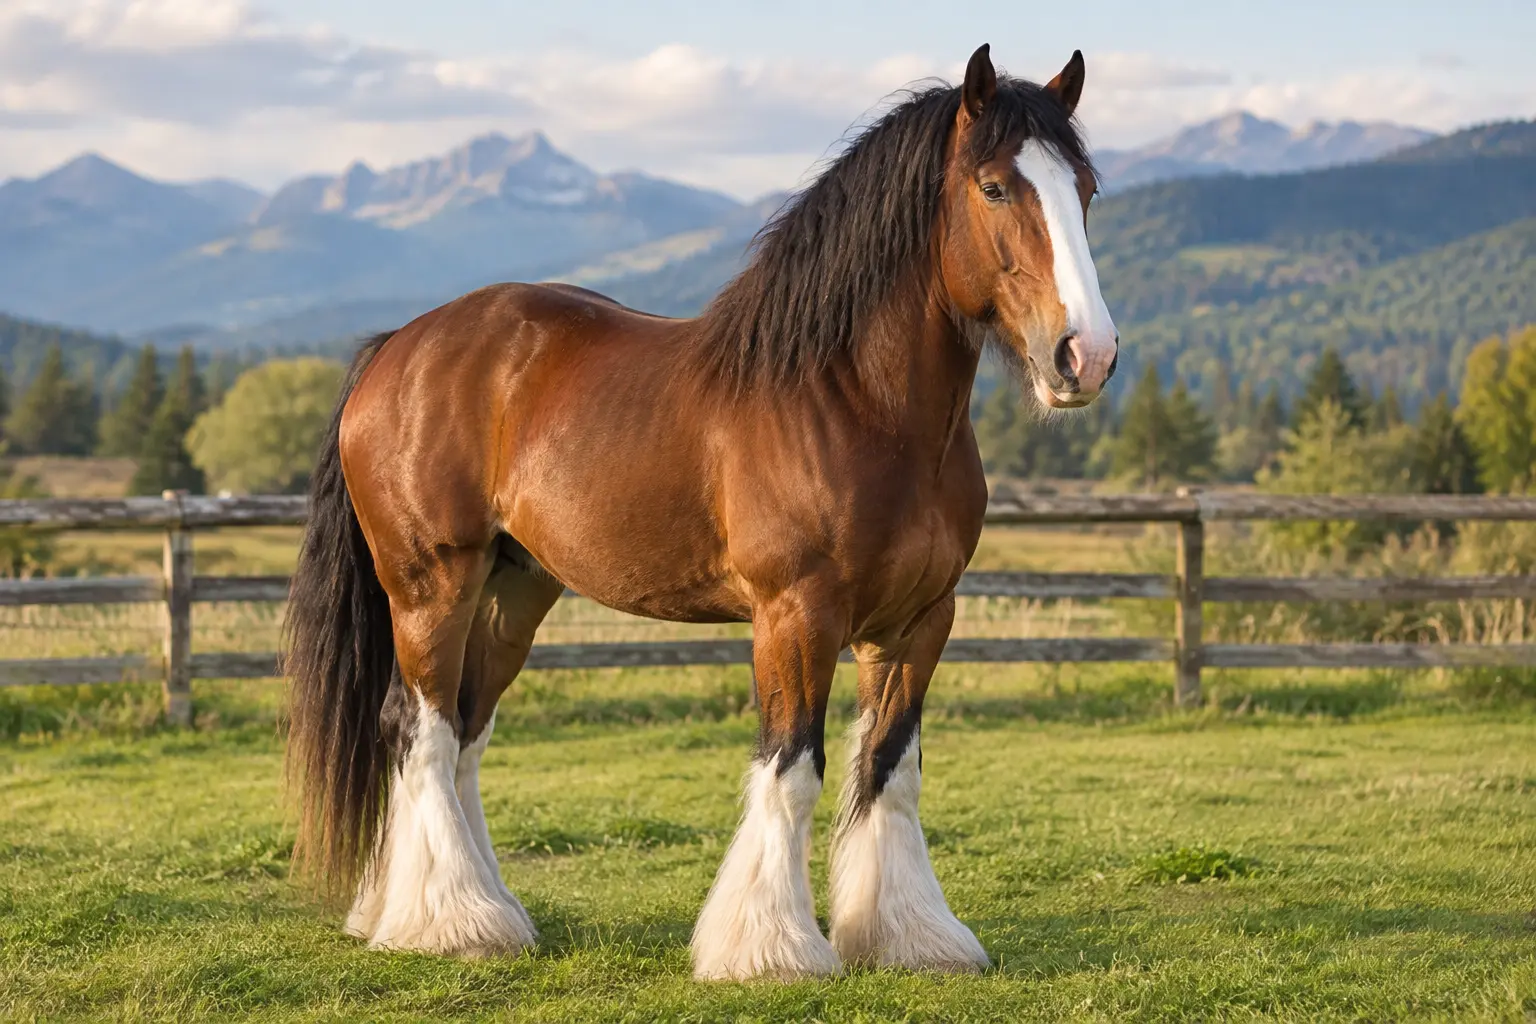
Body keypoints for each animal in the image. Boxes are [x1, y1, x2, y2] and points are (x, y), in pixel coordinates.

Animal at [284, 43, 1118, 981]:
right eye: (995, 188)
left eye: (1085, 189)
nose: (1085, 356)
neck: (855, 402)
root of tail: (397, 346)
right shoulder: (796, 615)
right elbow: (794, 767)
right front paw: (771, 947)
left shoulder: (919, 622)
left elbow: (889, 768)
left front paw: (908, 936)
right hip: (431, 586)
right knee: (418, 730)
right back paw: (453, 923)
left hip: (513, 593)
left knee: (463, 735)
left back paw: (464, 909)